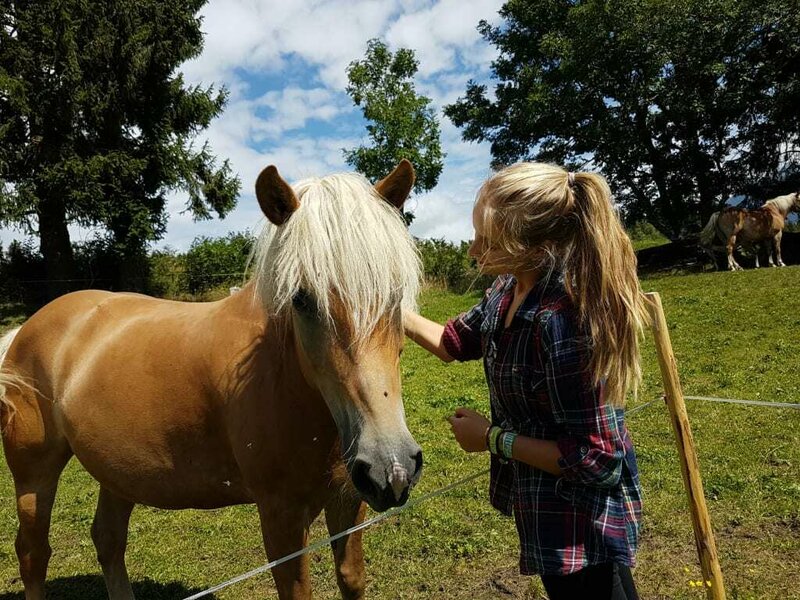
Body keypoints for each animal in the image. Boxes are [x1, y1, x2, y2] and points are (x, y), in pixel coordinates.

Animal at [0, 161, 424, 600]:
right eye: (301, 299)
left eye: (396, 294)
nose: (392, 467)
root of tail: (25, 329)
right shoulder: (282, 515)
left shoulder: (348, 498)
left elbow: (351, 579)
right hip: (33, 472)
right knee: (33, 552)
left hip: (116, 473)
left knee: (108, 540)